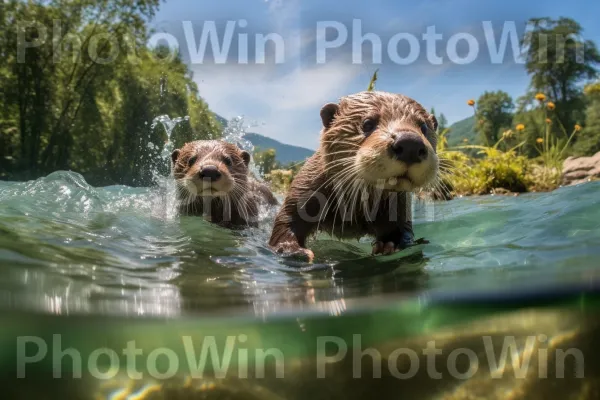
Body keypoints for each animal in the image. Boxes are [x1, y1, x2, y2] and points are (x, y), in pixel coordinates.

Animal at [270, 92, 438, 264]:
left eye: (424, 127)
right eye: (367, 123)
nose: (410, 144)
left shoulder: (399, 205)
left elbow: (403, 228)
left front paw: (390, 244)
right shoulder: (305, 187)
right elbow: (286, 219)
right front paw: (293, 250)